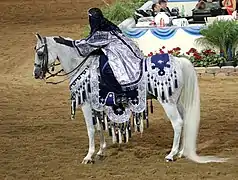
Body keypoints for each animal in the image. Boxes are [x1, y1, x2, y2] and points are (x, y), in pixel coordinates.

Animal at [33, 33, 227, 164]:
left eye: (40, 53)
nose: (36, 73)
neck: (83, 67)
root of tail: (179, 61)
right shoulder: (98, 106)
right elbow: (99, 128)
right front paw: (101, 151)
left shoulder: (87, 105)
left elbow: (90, 129)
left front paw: (89, 156)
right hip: (177, 102)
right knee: (184, 121)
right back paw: (179, 153)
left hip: (168, 103)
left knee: (177, 123)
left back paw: (171, 155)